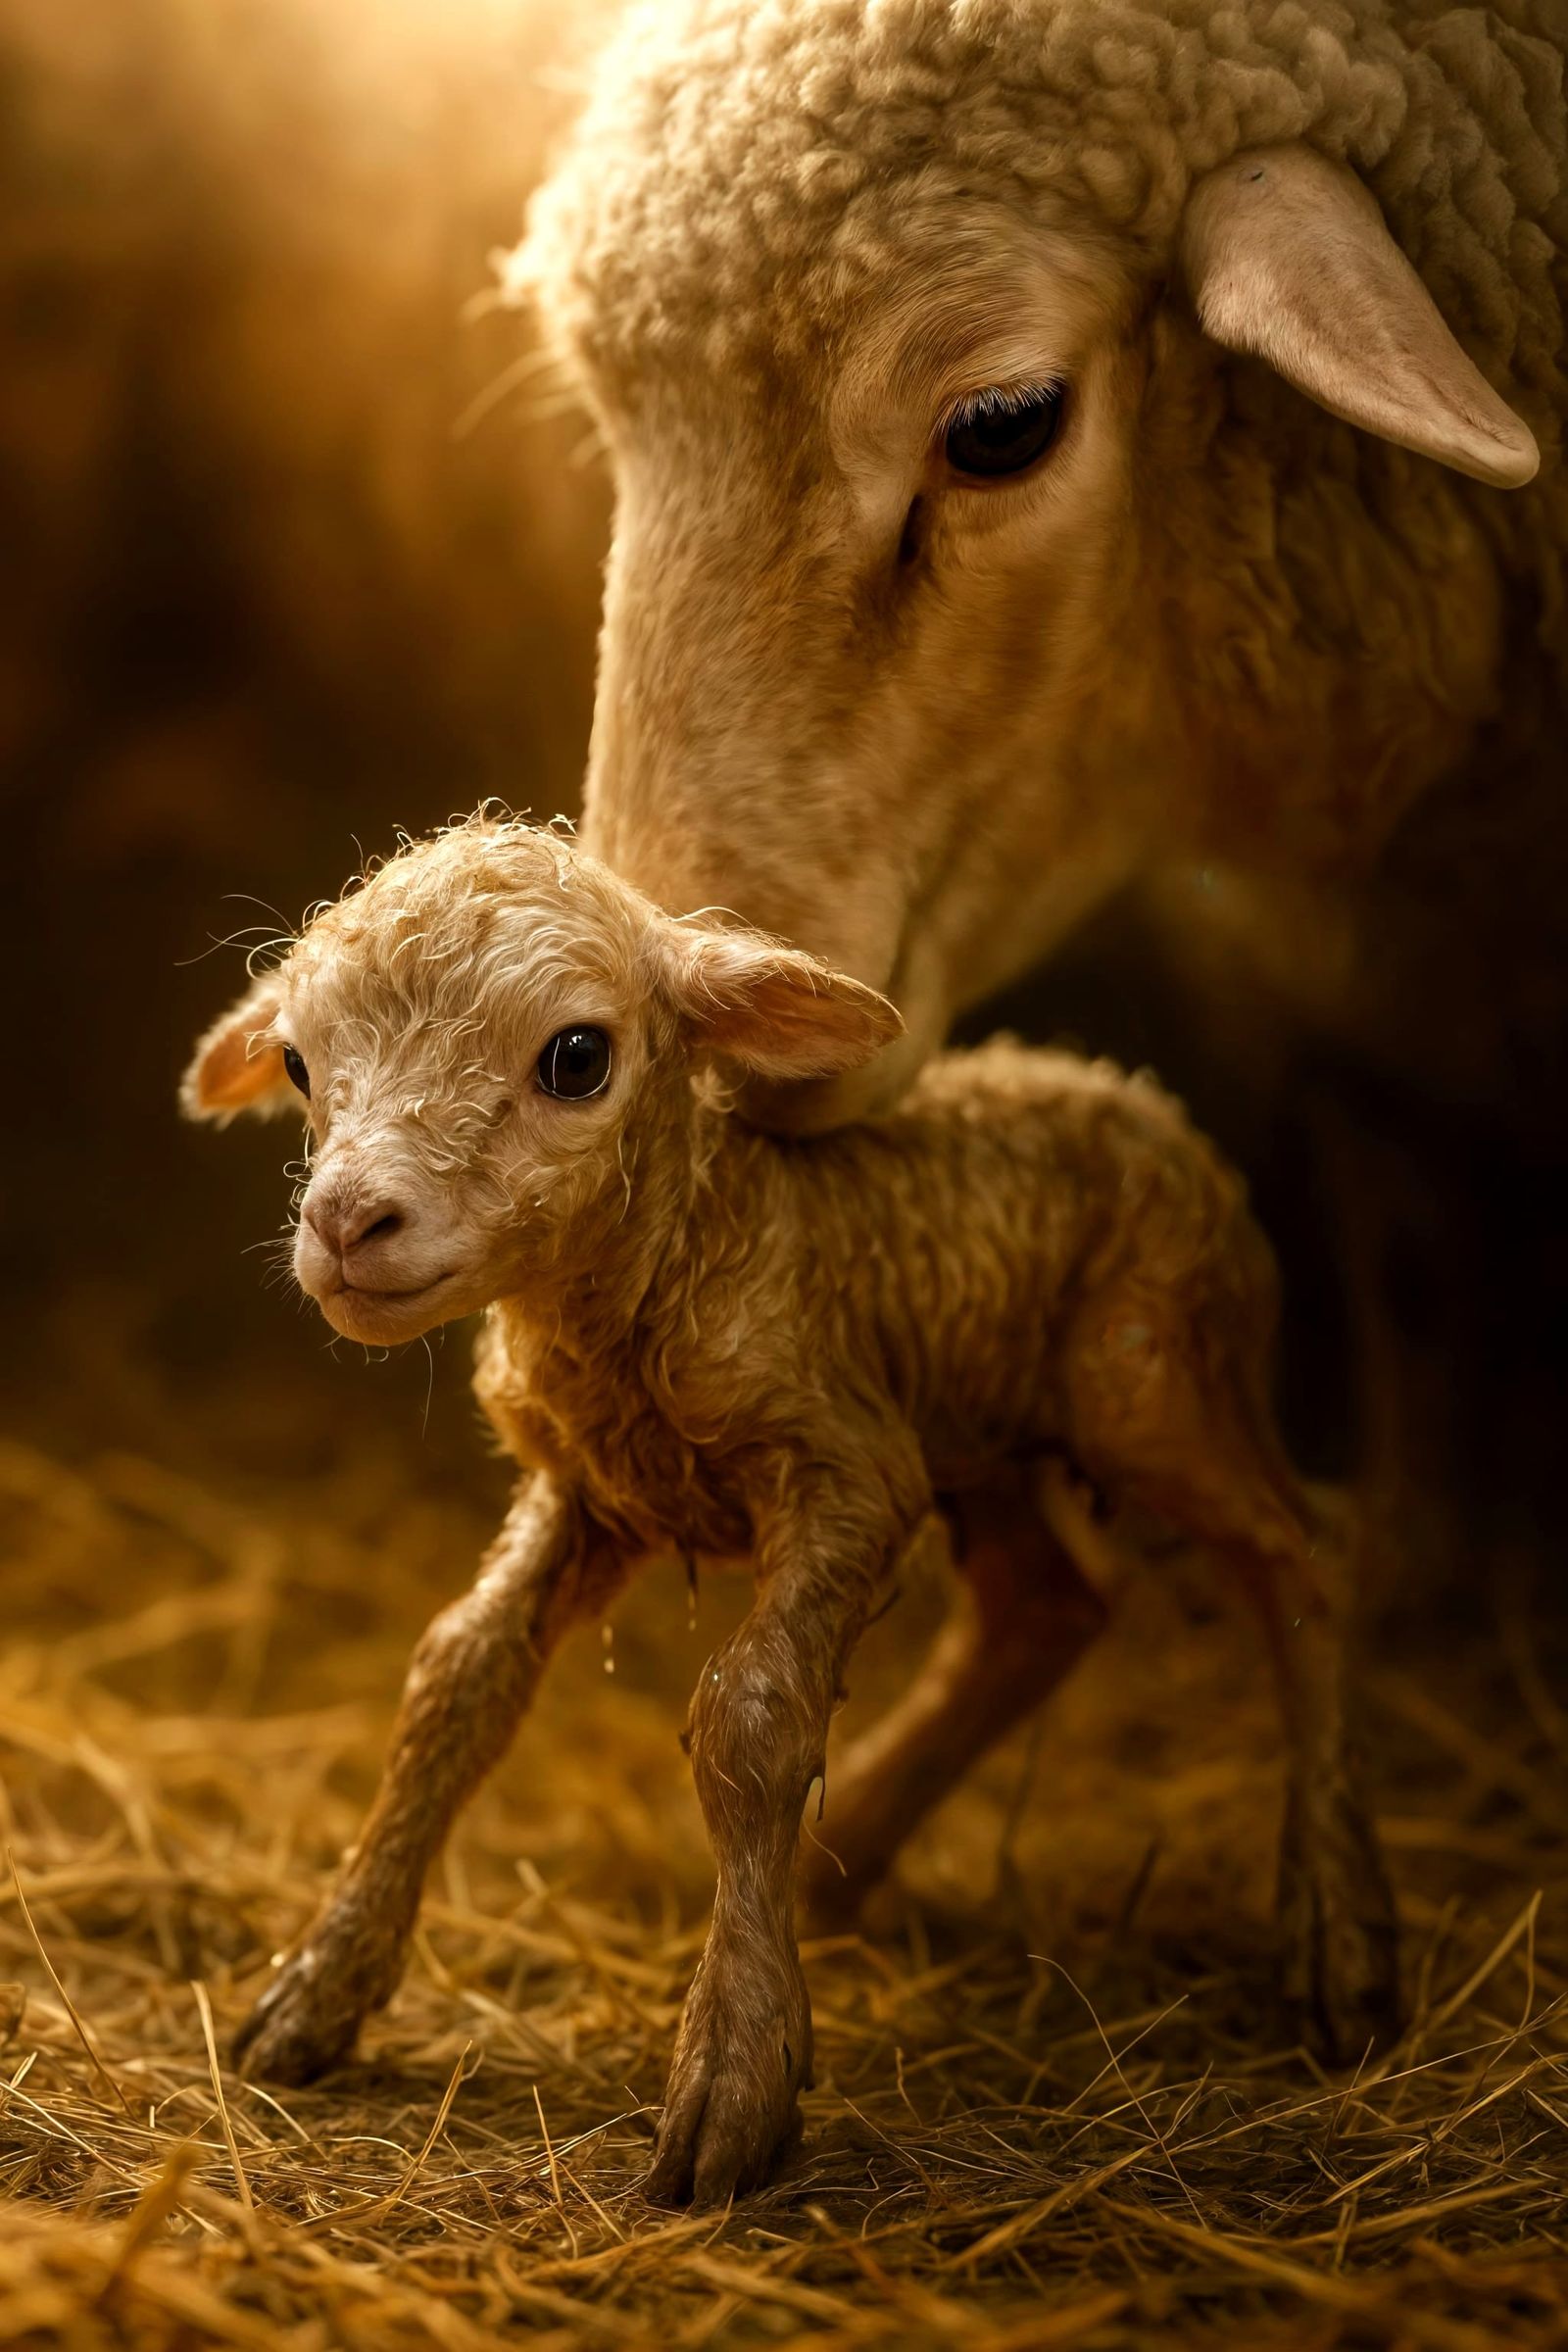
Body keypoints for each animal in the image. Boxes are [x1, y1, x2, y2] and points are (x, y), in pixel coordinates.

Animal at [184, 816, 1397, 2206]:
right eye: (296, 1060)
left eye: (578, 1058)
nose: (346, 1223)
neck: (700, 1233)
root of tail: (1141, 1097)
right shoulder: (597, 1490)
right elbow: (458, 1673)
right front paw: (318, 1988)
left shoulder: (842, 1462)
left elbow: (752, 1712)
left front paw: (733, 2076)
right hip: (970, 1422)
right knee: (1042, 1604)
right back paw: (852, 1842)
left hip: (1154, 1377)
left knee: (1307, 1552)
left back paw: (1338, 1936)